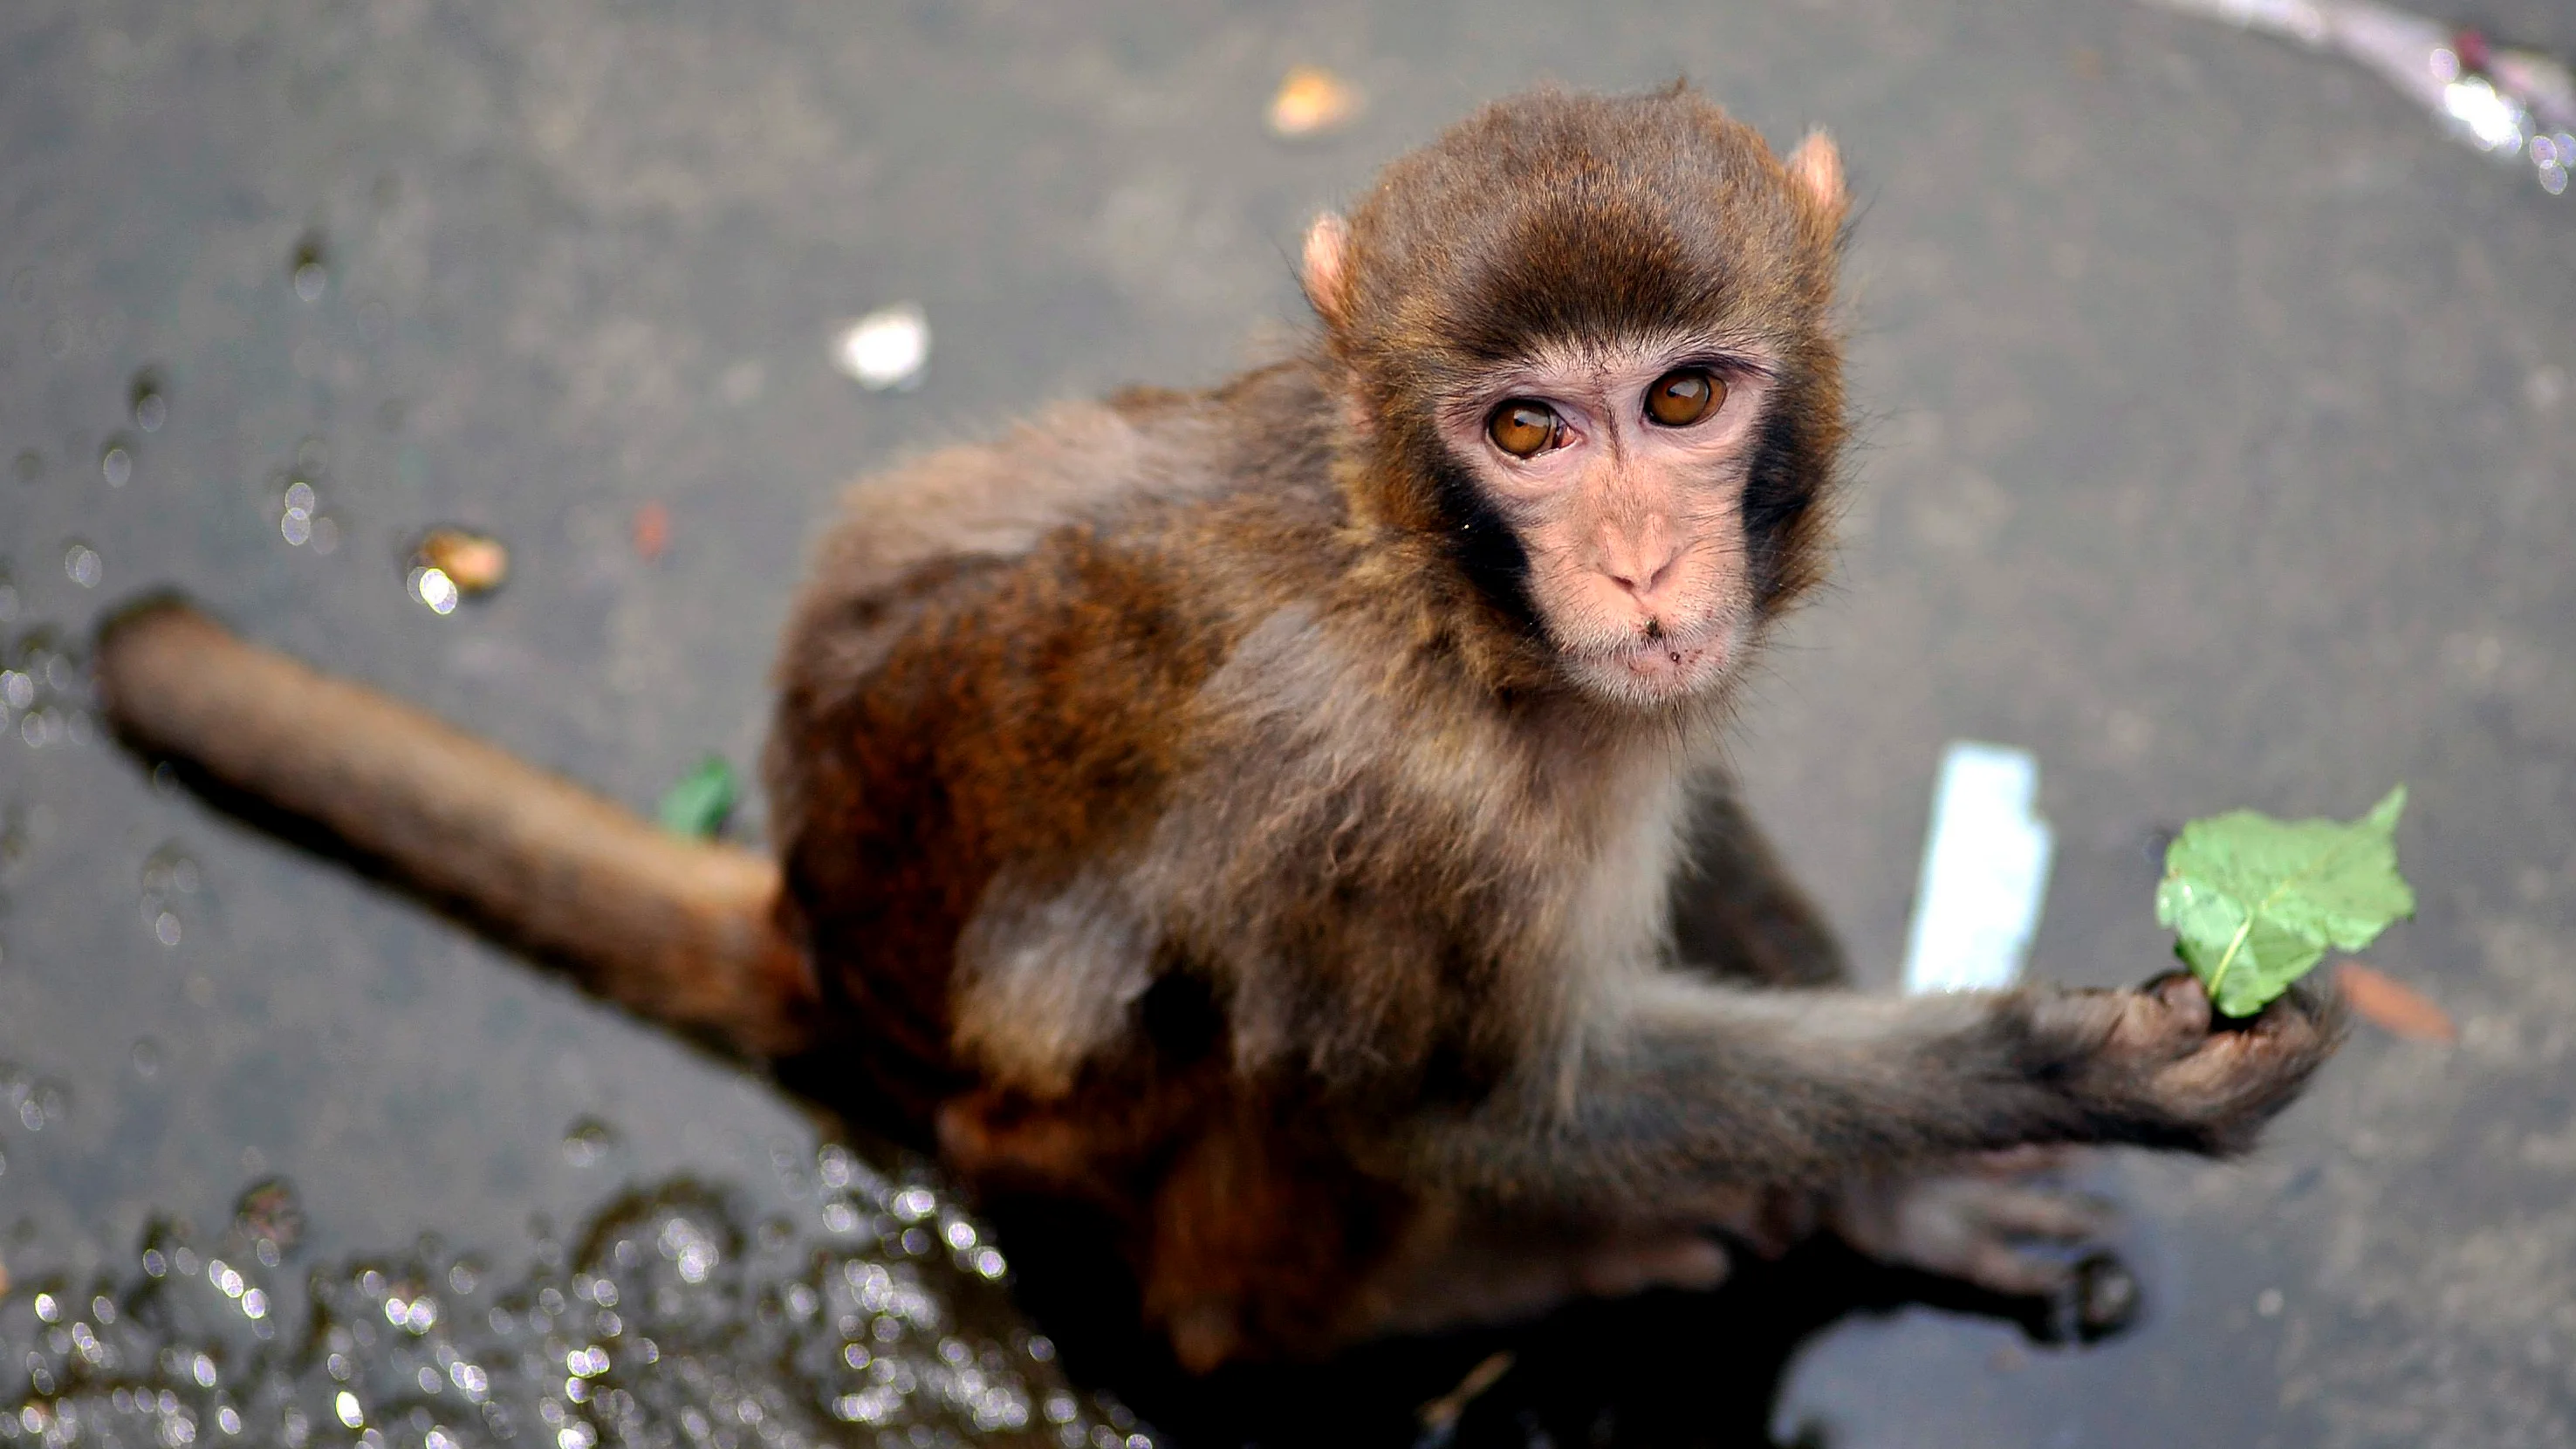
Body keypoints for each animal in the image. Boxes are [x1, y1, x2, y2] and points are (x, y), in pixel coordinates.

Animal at [91, 85, 2339, 1379]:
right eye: (1527, 431)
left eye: (1684, 398)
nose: (1631, 564)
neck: (1439, 594)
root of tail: (812, 928)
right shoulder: (1400, 795)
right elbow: (1461, 1102)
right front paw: (2054, 1061)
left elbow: (1686, 805)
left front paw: (1896, 1200)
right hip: (1070, 1147)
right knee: (1248, 1045)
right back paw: (1403, 1302)